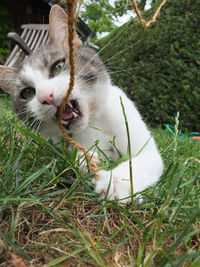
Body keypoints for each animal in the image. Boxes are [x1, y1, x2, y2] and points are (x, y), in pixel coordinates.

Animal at [0, 4, 163, 203]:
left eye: (58, 66)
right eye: (28, 93)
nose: (46, 96)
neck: (92, 124)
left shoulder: (138, 136)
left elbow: (142, 161)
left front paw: (116, 182)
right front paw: (84, 160)